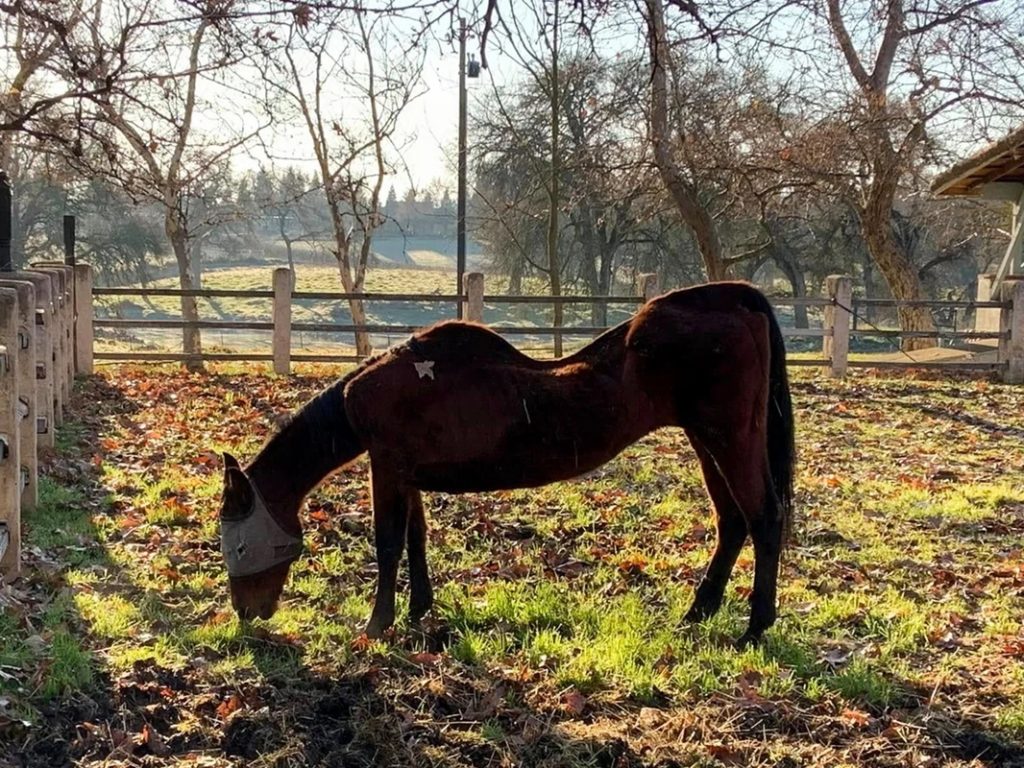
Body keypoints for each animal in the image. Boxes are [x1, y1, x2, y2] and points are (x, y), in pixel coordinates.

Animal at [220, 282, 794, 651]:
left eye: (239, 544)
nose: (246, 614)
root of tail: (734, 298)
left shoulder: (386, 467)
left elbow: (387, 544)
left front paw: (377, 625)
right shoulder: (406, 474)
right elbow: (416, 538)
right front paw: (419, 611)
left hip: (729, 437)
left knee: (764, 518)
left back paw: (754, 628)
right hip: (706, 441)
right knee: (732, 522)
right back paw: (699, 612)